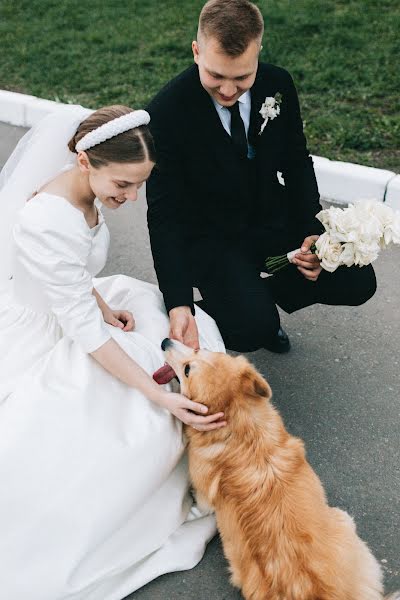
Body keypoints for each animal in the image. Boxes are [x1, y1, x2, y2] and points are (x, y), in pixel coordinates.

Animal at [162, 340, 396, 596]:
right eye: (198, 351)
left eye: (188, 368)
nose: (165, 341)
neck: (240, 427)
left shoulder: (204, 492)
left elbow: (202, 501)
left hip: (341, 521)